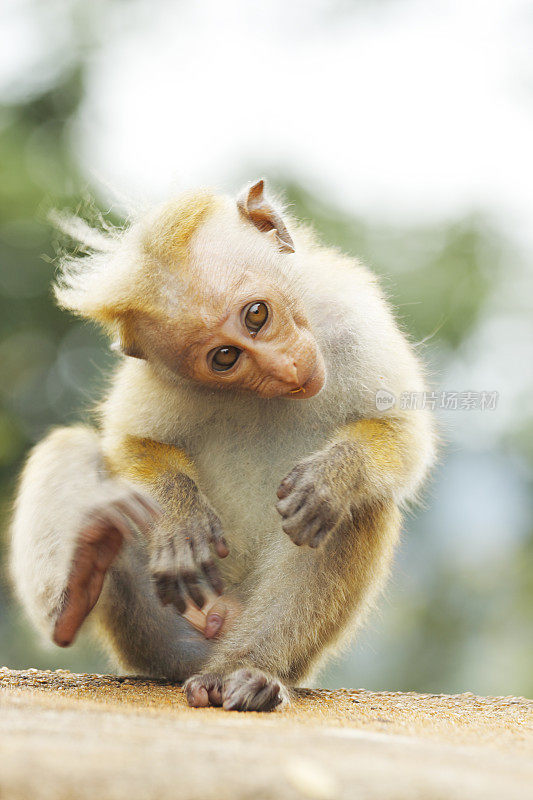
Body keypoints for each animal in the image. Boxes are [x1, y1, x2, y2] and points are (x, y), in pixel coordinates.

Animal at [9, 180, 432, 712]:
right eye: (225, 357)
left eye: (256, 315)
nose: (286, 369)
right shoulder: (162, 376)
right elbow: (131, 441)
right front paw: (180, 517)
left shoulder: (352, 314)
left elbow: (403, 434)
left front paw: (333, 477)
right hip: (155, 625)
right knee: (71, 448)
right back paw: (79, 582)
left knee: (357, 510)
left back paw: (247, 671)